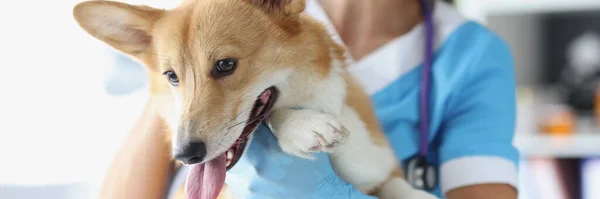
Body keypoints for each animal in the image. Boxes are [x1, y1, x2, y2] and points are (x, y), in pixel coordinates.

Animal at [72, 0, 438, 199]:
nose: (185, 156)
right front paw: (302, 126)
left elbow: (395, 185)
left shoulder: (375, 164)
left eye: (225, 65)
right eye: (172, 76)